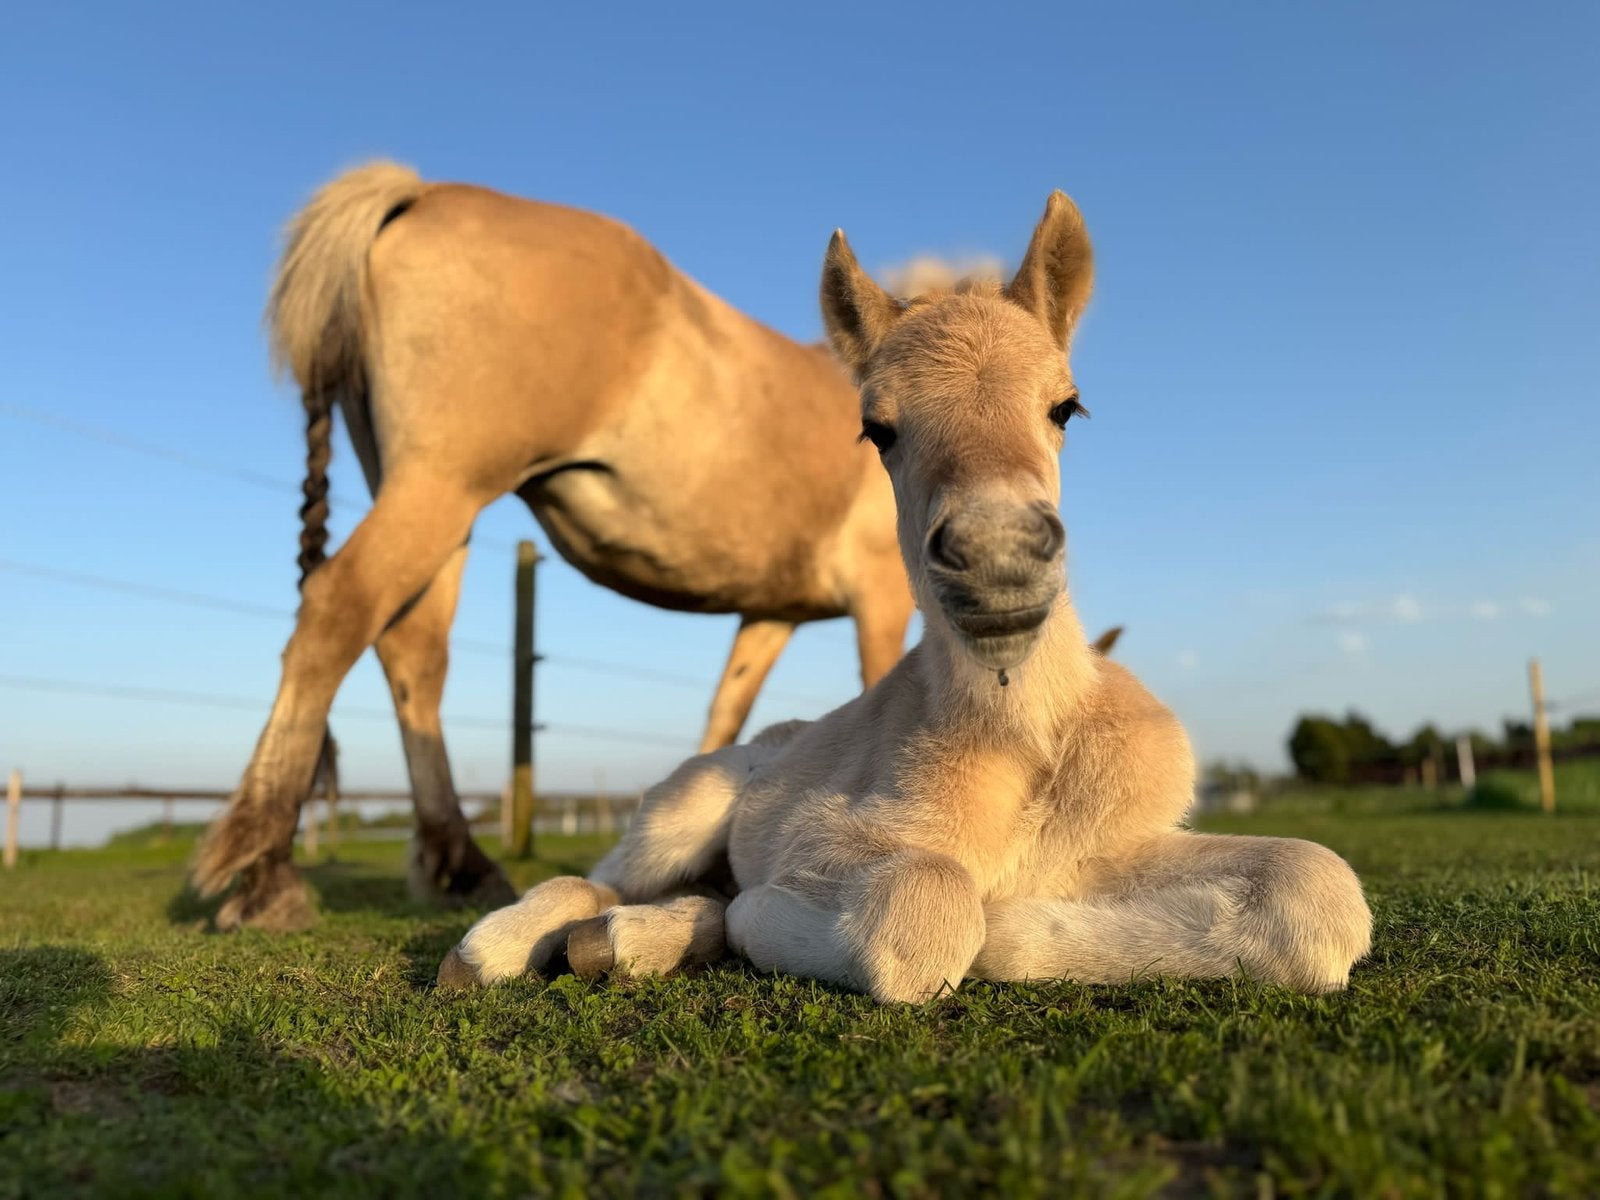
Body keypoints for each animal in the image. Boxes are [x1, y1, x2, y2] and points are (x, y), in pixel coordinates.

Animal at [192, 163, 914, 930]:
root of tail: (422, 192)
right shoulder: (880, 595)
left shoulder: (771, 614)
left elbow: (727, 713)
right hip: (438, 488)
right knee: (336, 610)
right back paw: (267, 868)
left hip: (437, 507)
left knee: (412, 653)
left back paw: (459, 864)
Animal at [437, 192, 1373, 1001]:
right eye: (876, 429)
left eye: (1066, 407)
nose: (998, 555)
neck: (1023, 746)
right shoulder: (829, 837)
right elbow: (925, 905)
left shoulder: (1121, 844)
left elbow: (1317, 884)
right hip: (682, 807)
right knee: (593, 877)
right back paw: (498, 949)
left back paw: (634, 940)